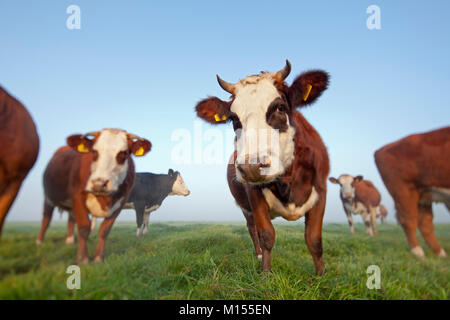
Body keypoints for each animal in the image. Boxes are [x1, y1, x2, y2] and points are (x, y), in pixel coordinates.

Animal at [35, 129, 151, 264]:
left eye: (124, 153)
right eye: (94, 151)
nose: (99, 184)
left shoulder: (120, 203)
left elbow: (105, 230)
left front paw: (98, 258)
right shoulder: (78, 198)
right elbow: (84, 228)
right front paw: (83, 258)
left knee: (70, 219)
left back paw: (69, 241)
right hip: (48, 198)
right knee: (46, 219)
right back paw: (39, 242)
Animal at [195, 61, 328, 274]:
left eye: (280, 107)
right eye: (233, 119)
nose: (251, 167)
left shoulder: (321, 191)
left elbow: (314, 239)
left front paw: (321, 275)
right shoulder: (253, 193)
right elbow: (266, 234)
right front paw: (266, 273)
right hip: (245, 207)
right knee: (253, 228)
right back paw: (258, 255)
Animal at [372, 126, 450, 258]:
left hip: (424, 193)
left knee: (425, 222)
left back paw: (440, 253)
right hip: (404, 189)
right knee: (408, 219)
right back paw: (418, 252)